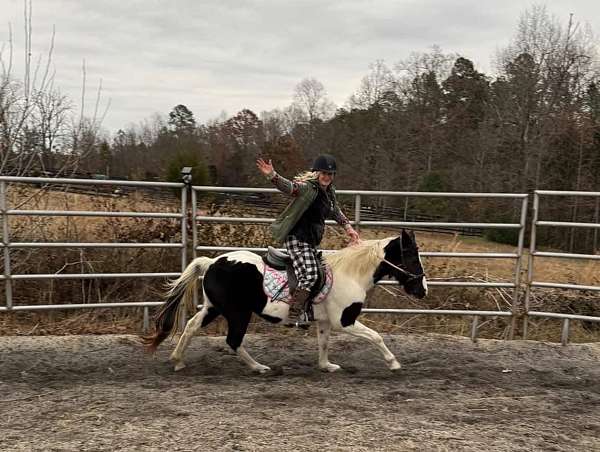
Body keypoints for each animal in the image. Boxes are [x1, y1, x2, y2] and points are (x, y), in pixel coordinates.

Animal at [144, 230, 426, 374]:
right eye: (412, 257)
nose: (423, 289)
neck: (351, 273)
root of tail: (213, 262)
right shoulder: (344, 321)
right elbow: (376, 336)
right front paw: (394, 363)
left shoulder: (325, 322)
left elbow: (324, 343)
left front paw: (327, 366)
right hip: (238, 313)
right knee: (233, 340)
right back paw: (259, 367)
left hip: (213, 308)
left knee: (191, 326)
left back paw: (178, 360)